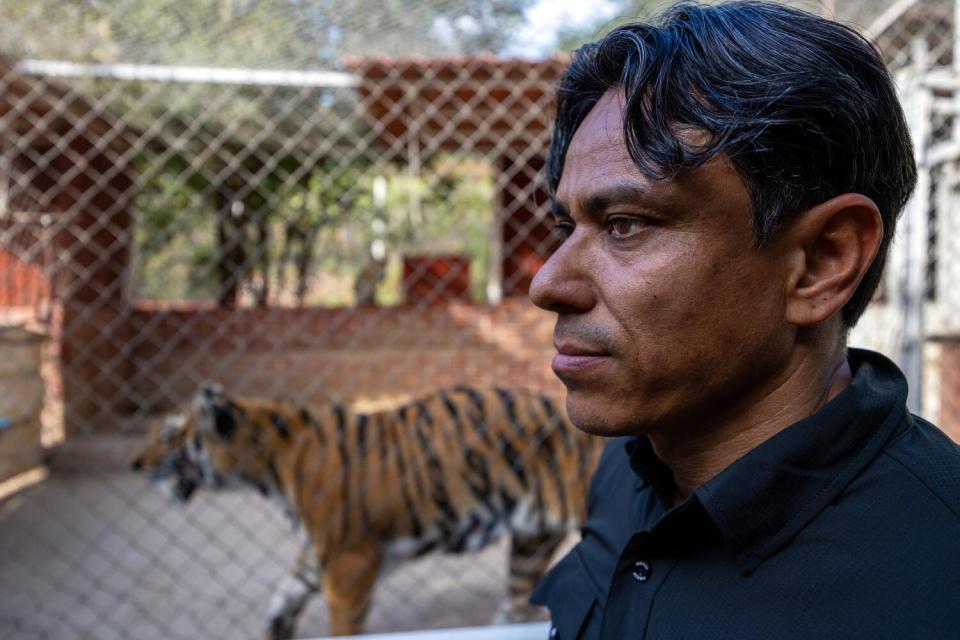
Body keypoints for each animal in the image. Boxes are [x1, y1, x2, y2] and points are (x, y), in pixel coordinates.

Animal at [131, 384, 604, 640]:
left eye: (169, 434)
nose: (135, 464)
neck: (268, 465)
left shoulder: (349, 562)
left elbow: (343, 624)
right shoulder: (316, 554)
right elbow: (283, 599)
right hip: (530, 542)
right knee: (517, 602)